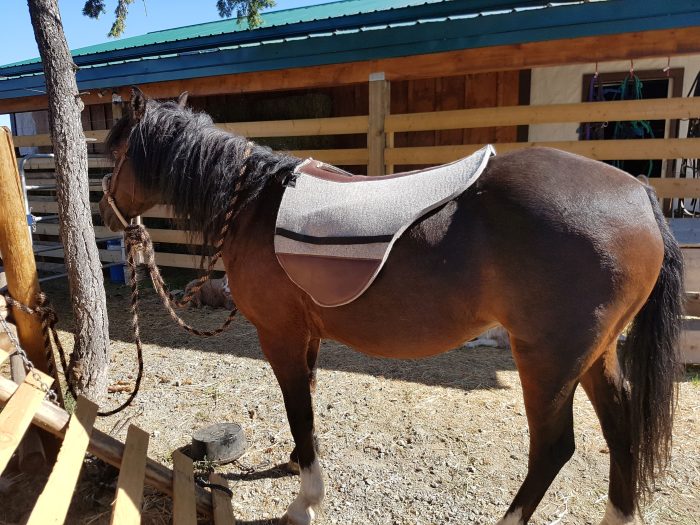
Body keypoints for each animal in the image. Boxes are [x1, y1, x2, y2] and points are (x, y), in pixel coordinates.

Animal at [99, 88, 683, 525]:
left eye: (112, 149)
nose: (105, 212)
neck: (255, 204)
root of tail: (639, 192)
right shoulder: (307, 335)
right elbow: (306, 406)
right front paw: (296, 464)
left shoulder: (279, 334)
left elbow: (297, 408)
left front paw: (305, 501)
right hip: (595, 353)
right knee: (620, 425)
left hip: (548, 359)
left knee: (553, 447)